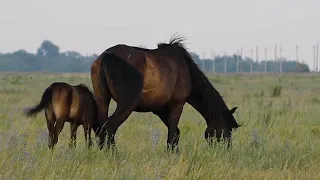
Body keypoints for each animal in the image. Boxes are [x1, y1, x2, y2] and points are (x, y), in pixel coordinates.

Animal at [90, 35, 240, 151]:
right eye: (227, 129)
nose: (227, 150)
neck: (186, 69)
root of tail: (107, 56)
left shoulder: (159, 108)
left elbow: (176, 132)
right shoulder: (177, 103)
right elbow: (173, 132)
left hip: (102, 100)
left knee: (102, 128)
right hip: (126, 105)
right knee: (110, 127)